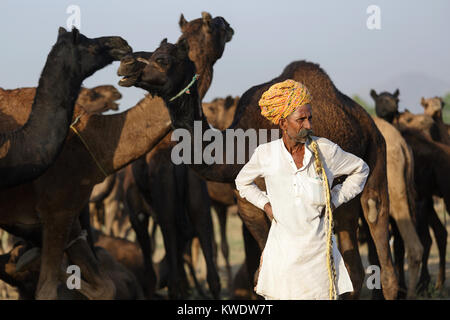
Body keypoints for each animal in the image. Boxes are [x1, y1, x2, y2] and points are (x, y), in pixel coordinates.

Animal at [118, 38, 398, 298]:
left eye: (162, 59)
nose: (126, 65)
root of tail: (366, 120)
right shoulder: (248, 206)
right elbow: (262, 274)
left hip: (376, 155)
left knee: (376, 223)